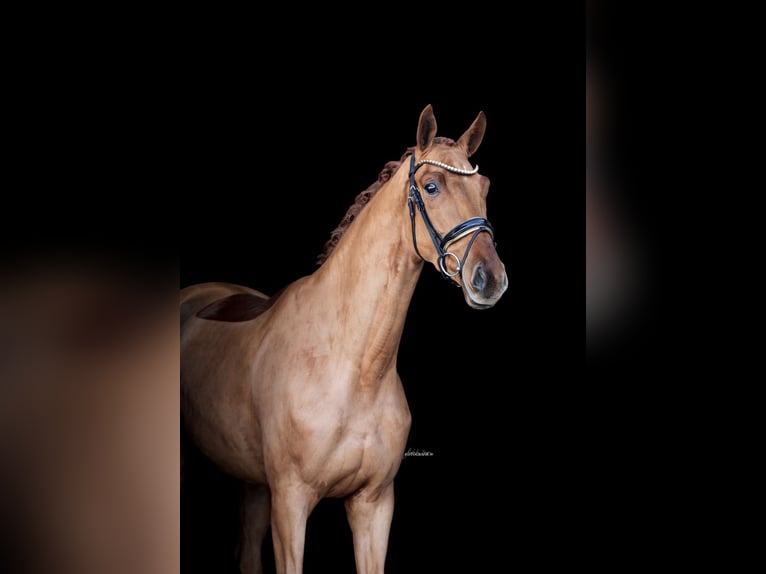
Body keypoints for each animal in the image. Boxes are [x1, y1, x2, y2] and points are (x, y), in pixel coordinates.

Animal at [180, 104, 508, 574]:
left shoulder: (374, 505)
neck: (354, 368)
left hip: (252, 483)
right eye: (431, 187)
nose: (490, 279)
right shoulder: (291, 503)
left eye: (484, 187)